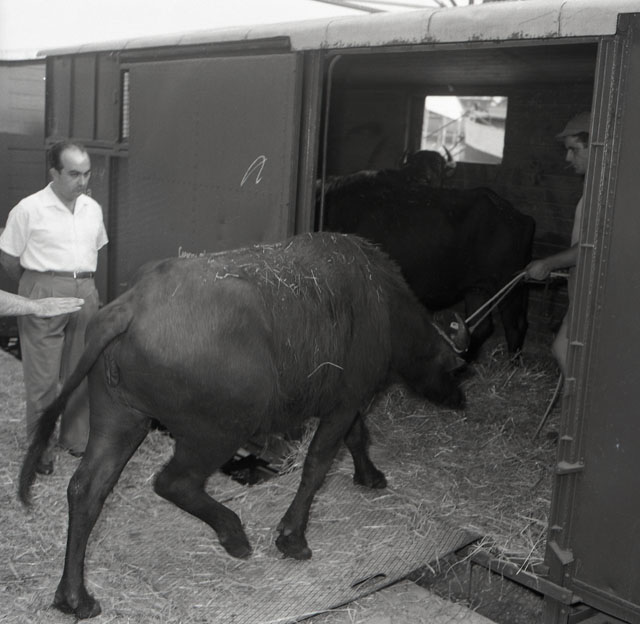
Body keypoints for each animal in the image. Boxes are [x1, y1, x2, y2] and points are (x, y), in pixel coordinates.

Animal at [19, 232, 469, 619]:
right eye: (455, 370)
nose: (461, 399)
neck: (384, 308)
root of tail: (131, 306)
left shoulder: (348, 404)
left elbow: (358, 437)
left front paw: (370, 475)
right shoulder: (345, 402)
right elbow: (318, 464)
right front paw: (292, 537)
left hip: (121, 419)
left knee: (86, 490)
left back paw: (74, 597)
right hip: (216, 432)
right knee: (172, 482)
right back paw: (234, 534)